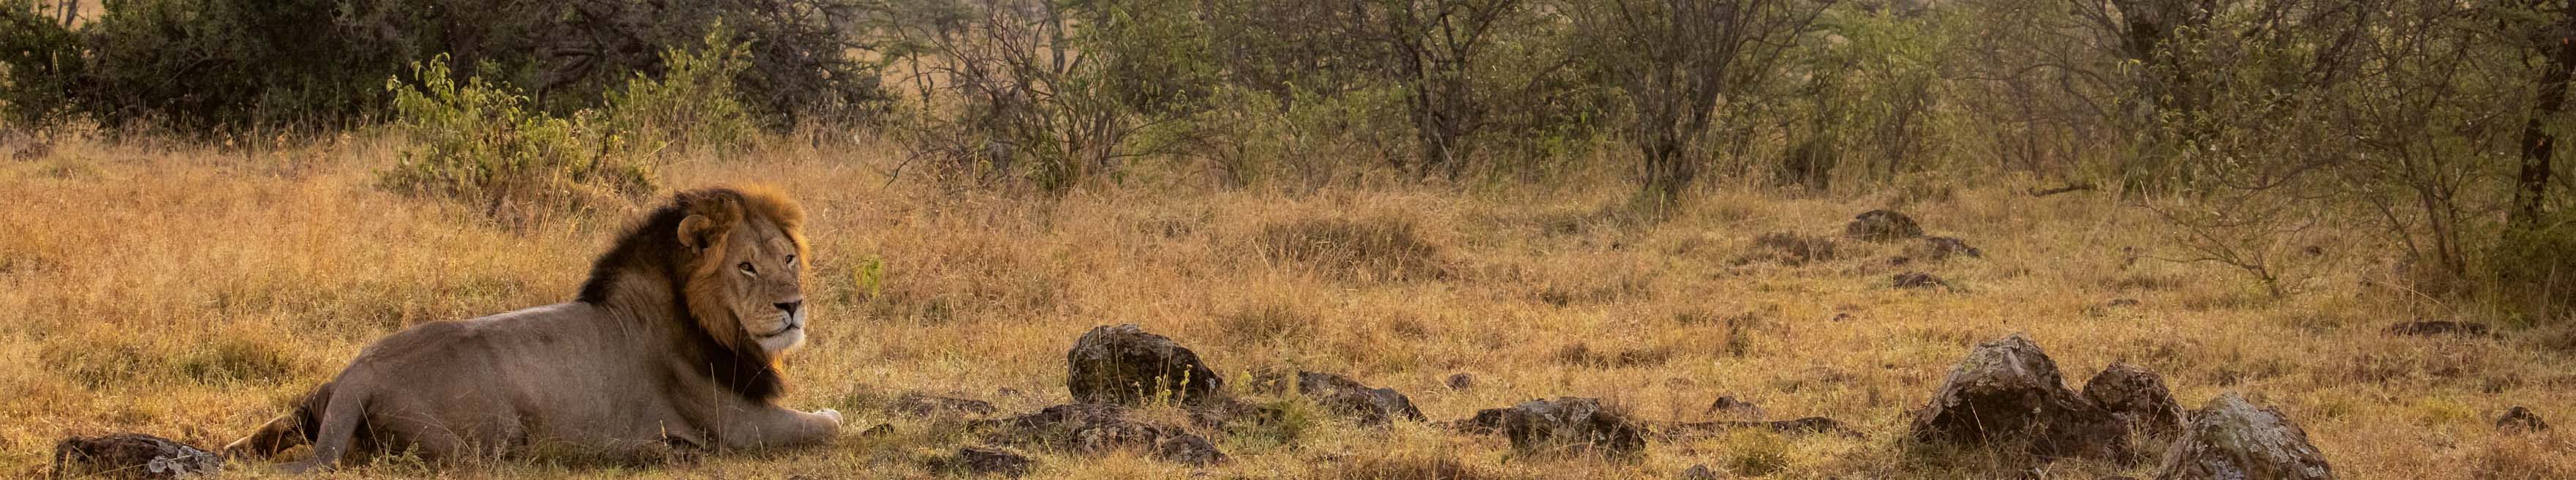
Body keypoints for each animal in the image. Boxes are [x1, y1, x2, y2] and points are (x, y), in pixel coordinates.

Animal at [222, 185, 839, 469]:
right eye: (746, 267)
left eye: (788, 258)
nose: (792, 306)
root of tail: (359, 376)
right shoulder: (736, 426)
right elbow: (829, 426)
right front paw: (834, 417)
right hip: (489, 442)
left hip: (314, 401)